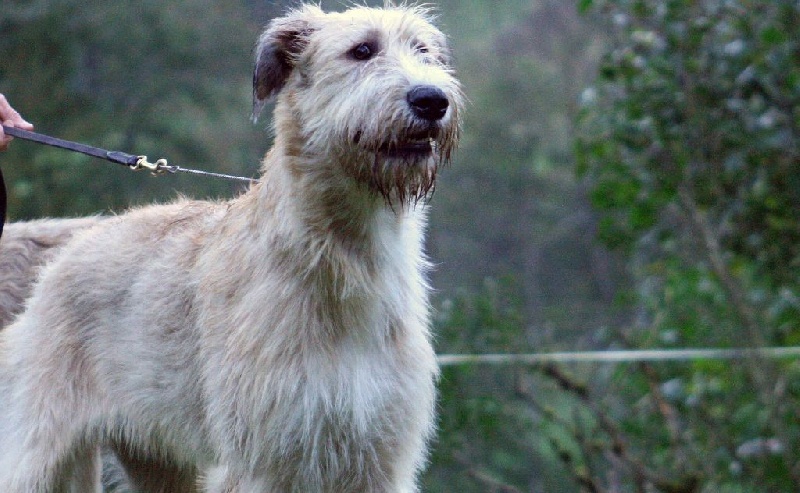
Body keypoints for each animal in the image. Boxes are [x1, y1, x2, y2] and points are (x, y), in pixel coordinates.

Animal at [0, 3, 462, 492]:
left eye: (423, 51)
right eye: (362, 50)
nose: (432, 100)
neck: (345, 257)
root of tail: (61, 258)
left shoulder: (377, 458)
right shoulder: (262, 460)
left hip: (158, 459)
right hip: (36, 445)